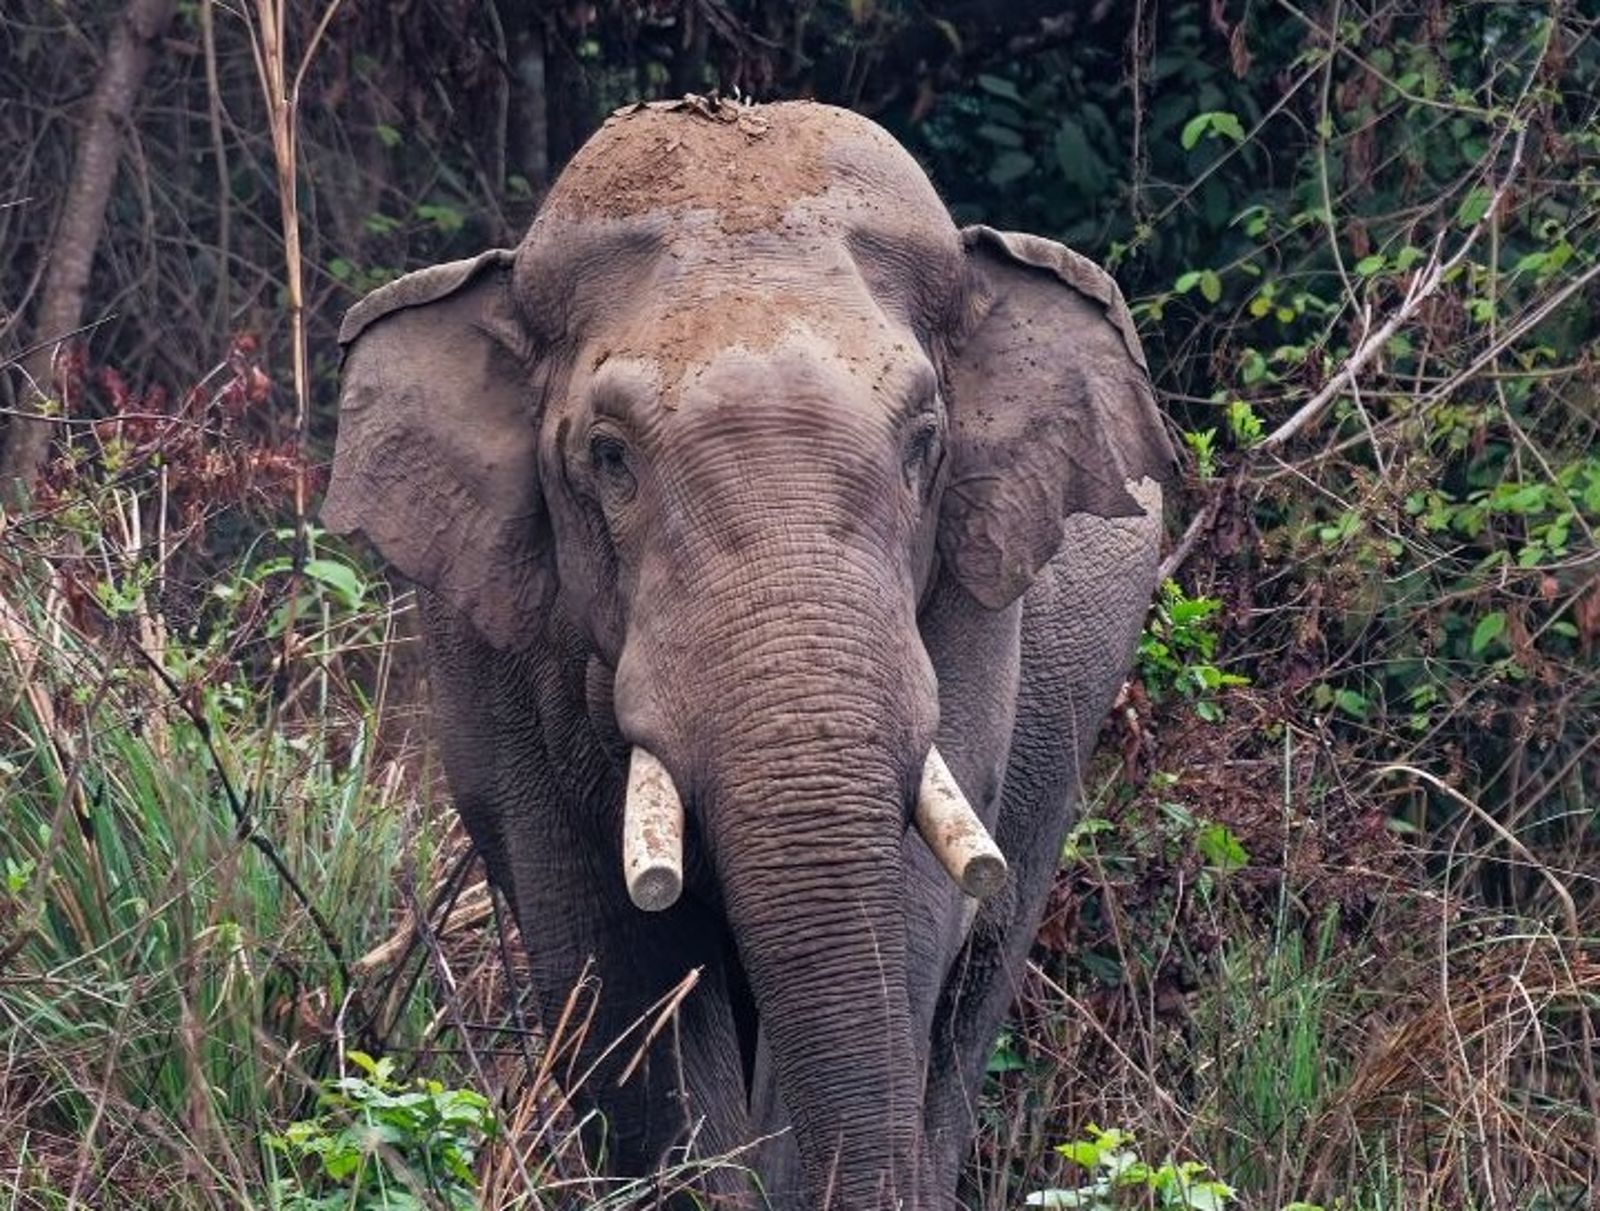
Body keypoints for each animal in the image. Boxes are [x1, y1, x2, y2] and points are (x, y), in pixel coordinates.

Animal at [323, 98, 1174, 1210]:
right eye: (609, 457)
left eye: (925, 443)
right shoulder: (502, 644)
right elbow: (612, 957)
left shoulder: (970, 599)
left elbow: (905, 914)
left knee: (976, 976)